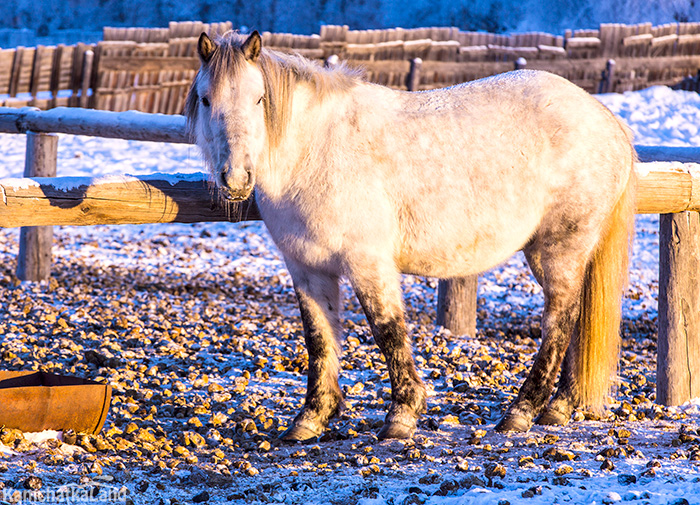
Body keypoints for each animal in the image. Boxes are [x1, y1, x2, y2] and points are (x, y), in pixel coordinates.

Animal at [185, 31, 636, 440]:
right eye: (207, 100)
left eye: (259, 99)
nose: (236, 179)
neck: (314, 151)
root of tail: (607, 120)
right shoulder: (307, 269)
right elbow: (319, 338)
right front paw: (311, 419)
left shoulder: (368, 263)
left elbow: (387, 331)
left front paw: (401, 415)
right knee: (574, 323)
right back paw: (559, 407)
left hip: (558, 249)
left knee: (559, 322)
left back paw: (522, 412)